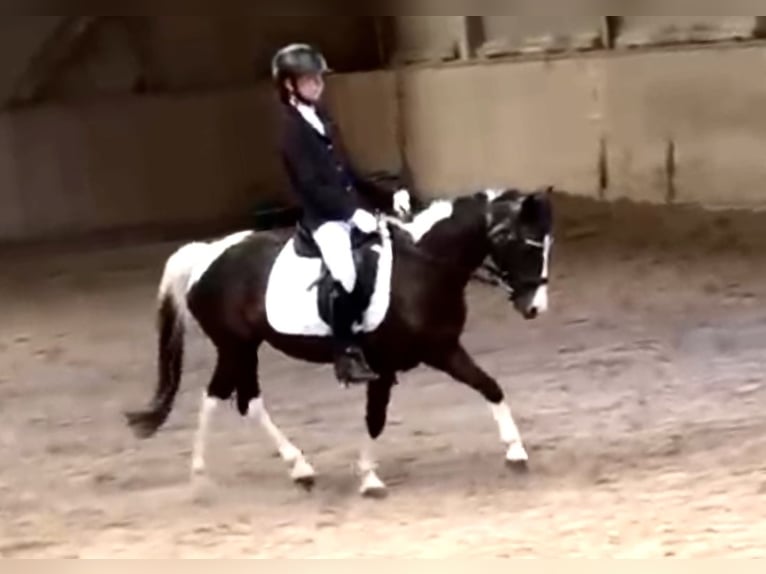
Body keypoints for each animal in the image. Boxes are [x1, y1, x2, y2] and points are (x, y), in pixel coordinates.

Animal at [124, 186, 554, 498]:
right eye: (525, 244)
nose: (535, 307)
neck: (423, 268)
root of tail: (207, 254)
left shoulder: (443, 349)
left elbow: (490, 387)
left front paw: (516, 453)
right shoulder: (383, 365)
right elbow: (375, 419)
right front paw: (369, 479)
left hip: (244, 347)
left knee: (241, 400)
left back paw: (298, 470)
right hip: (235, 346)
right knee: (219, 399)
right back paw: (202, 477)